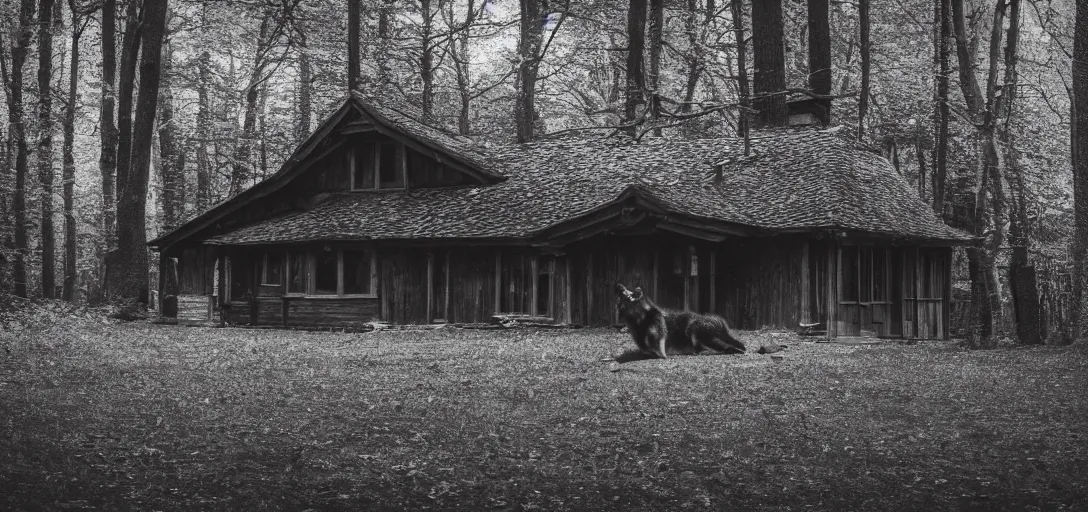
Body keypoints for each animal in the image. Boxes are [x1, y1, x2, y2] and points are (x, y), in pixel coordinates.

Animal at [613, 282, 748, 363]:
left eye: (624, 293)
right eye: (620, 298)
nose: (618, 286)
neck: (640, 320)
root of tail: (720, 323)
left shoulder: (655, 316)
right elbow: (646, 347)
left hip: (696, 329)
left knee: (721, 346)